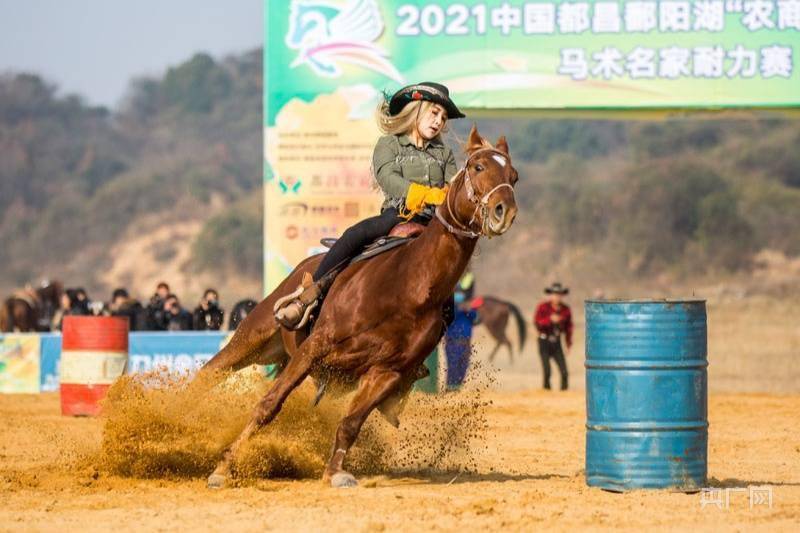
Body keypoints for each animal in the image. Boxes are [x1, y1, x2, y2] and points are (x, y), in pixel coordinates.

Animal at [200, 123, 520, 486]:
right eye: (478, 167)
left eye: (514, 175)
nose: (504, 211)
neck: (405, 285)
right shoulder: (315, 347)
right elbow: (268, 405)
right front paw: (222, 469)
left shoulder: (386, 373)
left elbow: (350, 424)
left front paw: (335, 473)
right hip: (254, 335)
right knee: (209, 373)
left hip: (283, 356)